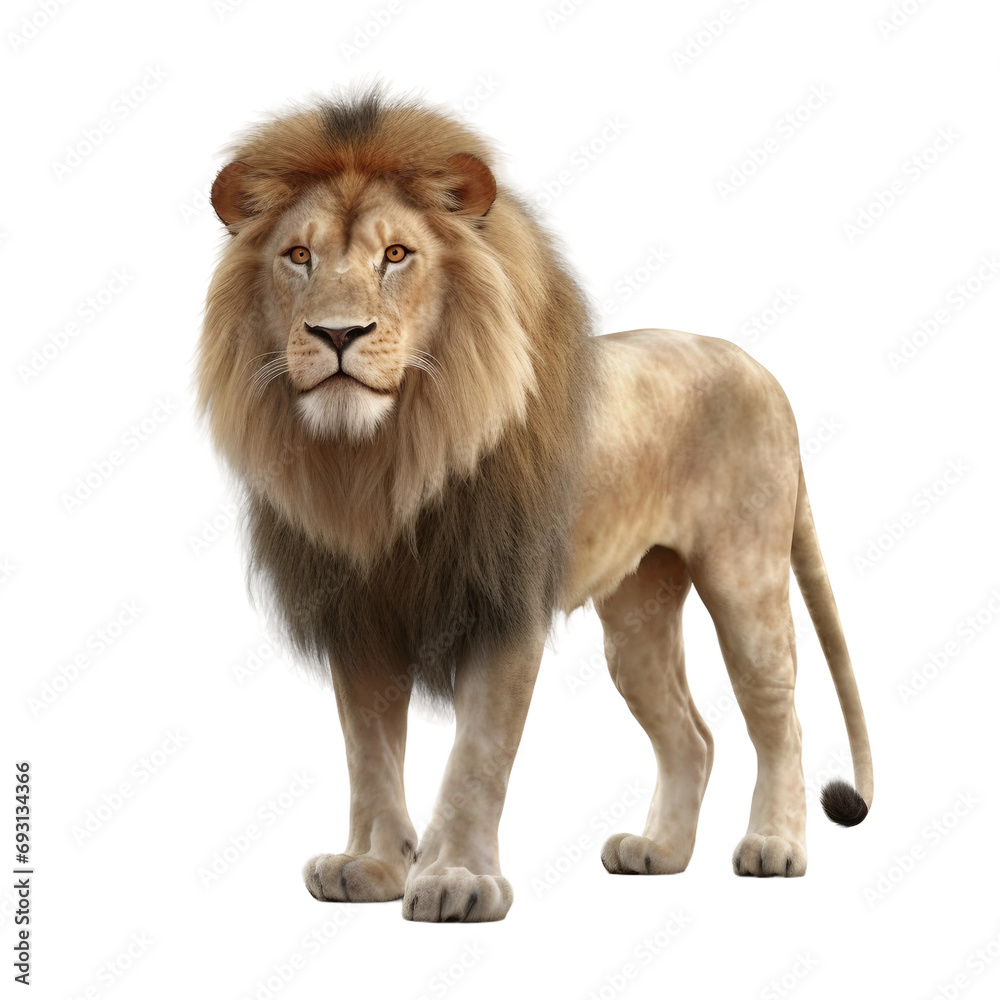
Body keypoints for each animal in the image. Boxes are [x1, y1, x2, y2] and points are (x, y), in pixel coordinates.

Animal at [197, 87, 872, 922]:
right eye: (299, 256)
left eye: (397, 255)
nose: (336, 333)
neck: (383, 460)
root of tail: (760, 368)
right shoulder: (359, 616)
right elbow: (370, 753)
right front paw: (373, 866)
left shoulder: (501, 602)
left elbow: (478, 755)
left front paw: (456, 879)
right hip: (638, 613)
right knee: (693, 735)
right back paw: (658, 852)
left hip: (745, 577)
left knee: (780, 716)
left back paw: (775, 846)